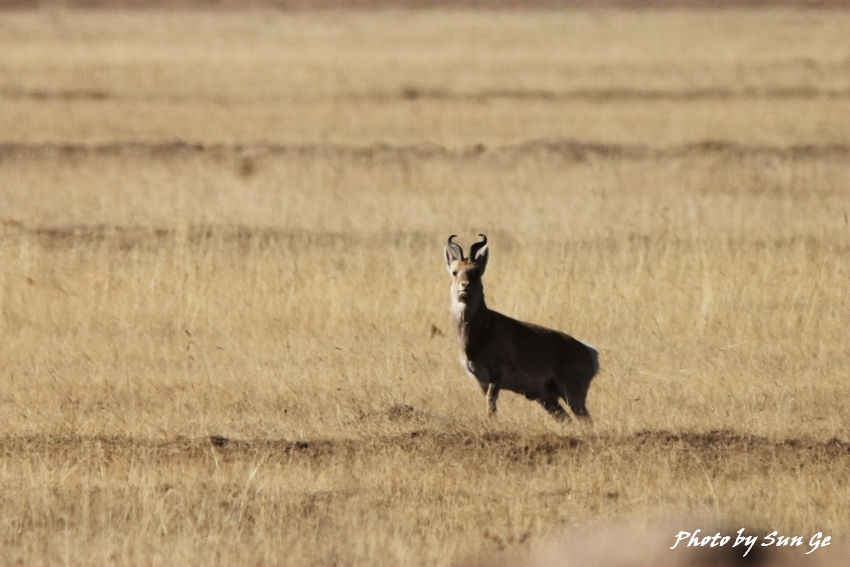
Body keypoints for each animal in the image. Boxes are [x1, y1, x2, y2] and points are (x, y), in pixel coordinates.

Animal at [444, 234, 598, 421]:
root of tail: (589, 351)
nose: (465, 286)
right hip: (547, 399)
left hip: (572, 396)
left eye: (477, 271)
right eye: (455, 272)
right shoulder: (482, 381)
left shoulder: (498, 374)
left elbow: (491, 401)